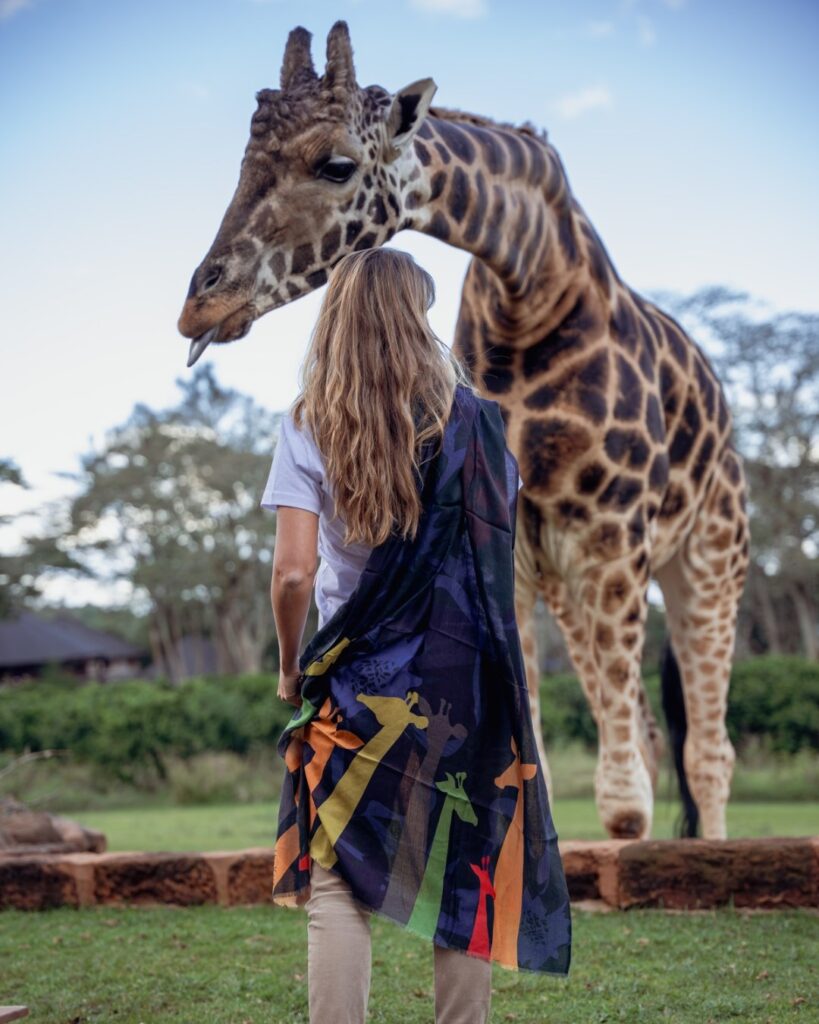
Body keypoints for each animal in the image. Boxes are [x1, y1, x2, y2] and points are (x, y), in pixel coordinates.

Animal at [177, 22, 749, 839]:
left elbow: (623, 805)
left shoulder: (612, 531)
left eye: (335, 164)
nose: (199, 304)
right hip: (576, 575)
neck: (529, 290)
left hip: (709, 554)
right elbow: (533, 750)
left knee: (706, 751)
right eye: (243, 162)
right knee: (650, 730)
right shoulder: (520, 543)